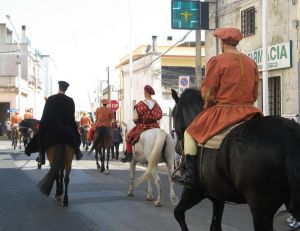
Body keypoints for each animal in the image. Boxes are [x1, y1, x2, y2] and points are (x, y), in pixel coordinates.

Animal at [171, 88, 300, 231]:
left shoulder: (194, 191)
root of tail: (290, 136)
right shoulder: (217, 197)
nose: (177, 148)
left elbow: (178, 213)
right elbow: (215, 226)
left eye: (173, 114)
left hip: (261, 210)